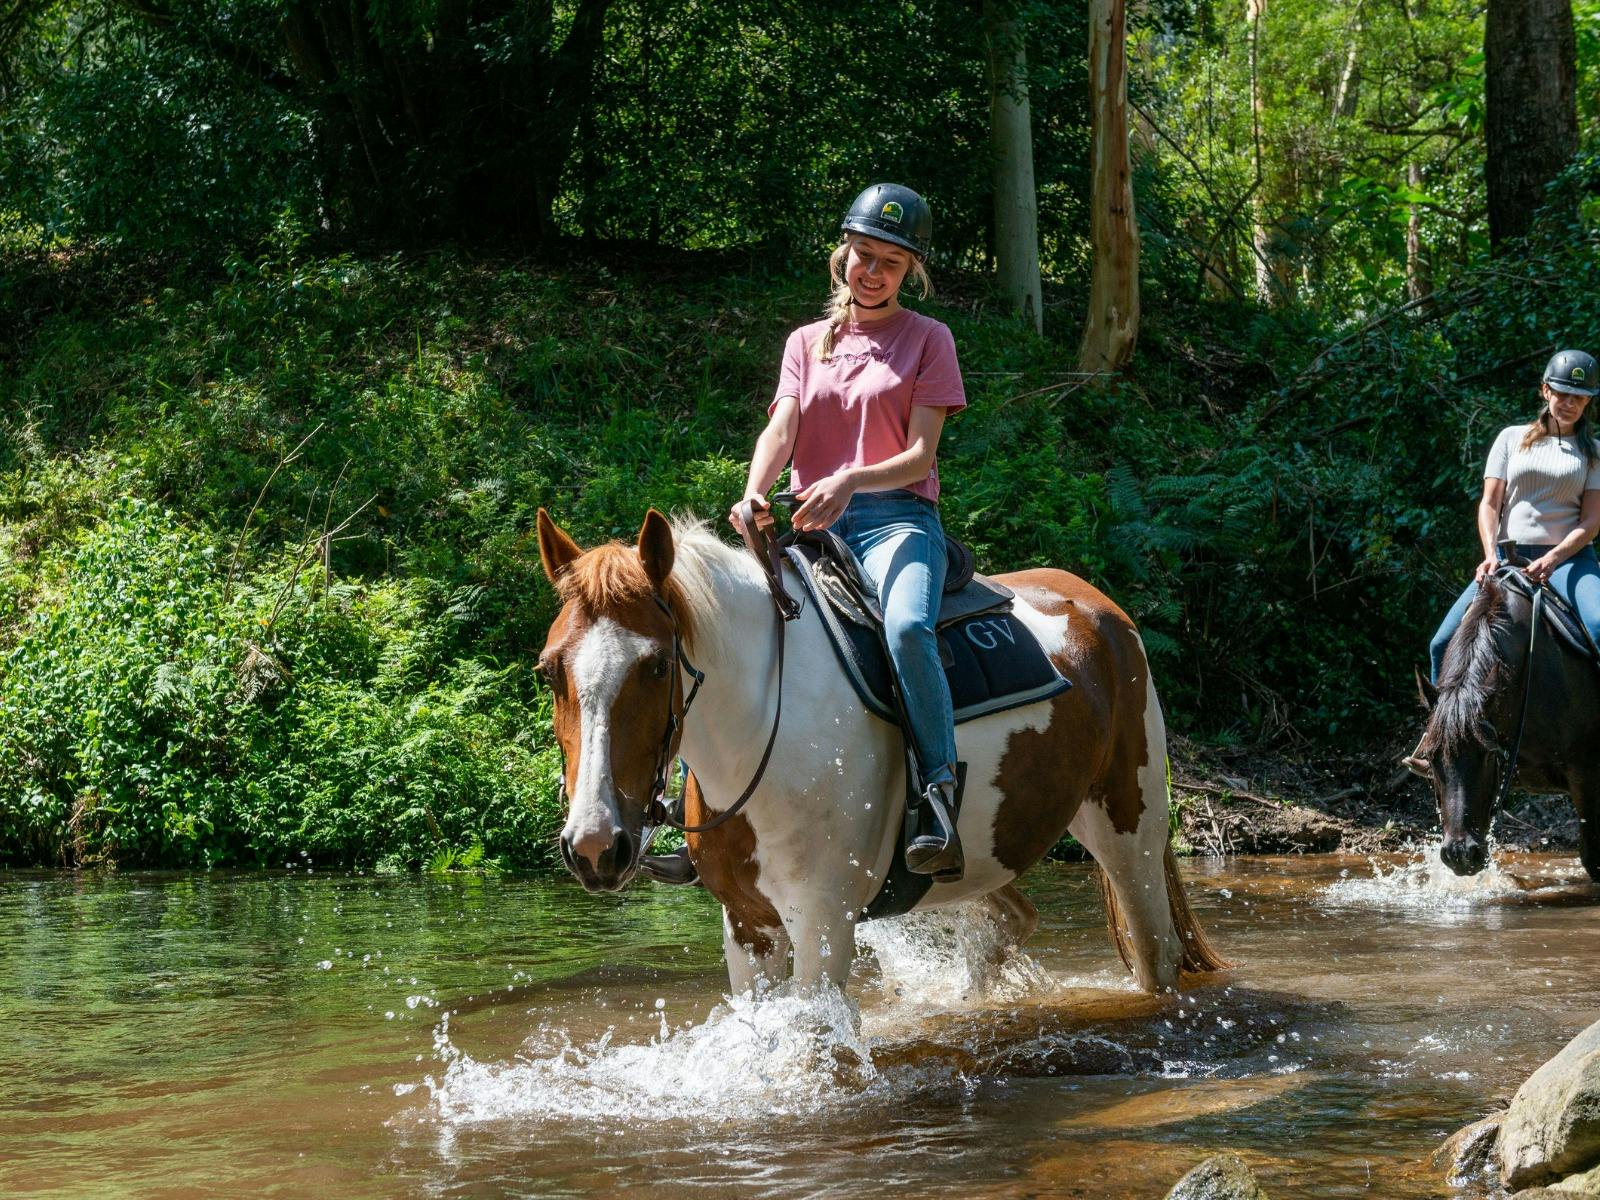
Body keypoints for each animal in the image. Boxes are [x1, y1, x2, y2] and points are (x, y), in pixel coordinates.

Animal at [535, 507, 1228, 995]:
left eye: (655, 666)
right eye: (549, 670)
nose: (594, 846)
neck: (761, 731)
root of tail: (1101, 608)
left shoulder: (822, 921)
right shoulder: (749, 927)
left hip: (1130, 828)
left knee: (1155, 955)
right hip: (980, 861)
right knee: (1009, 921)